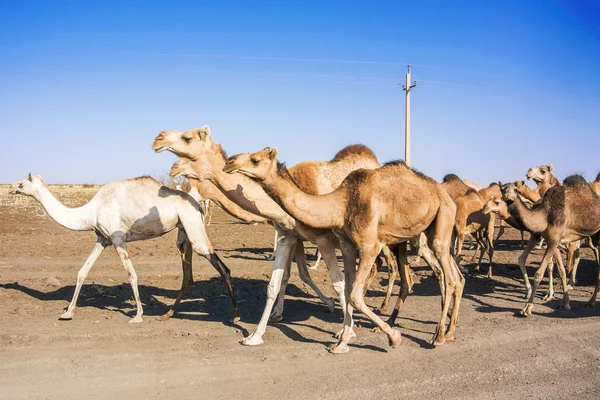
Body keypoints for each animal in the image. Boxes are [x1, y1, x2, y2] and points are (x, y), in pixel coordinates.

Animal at [8, 174, 239, 322]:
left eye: (22, 183)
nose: (11, 187)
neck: (89, 212)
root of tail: (198, 204)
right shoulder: (102, 238)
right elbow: (83, 271)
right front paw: (68, 313)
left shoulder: (118, 238)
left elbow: (131, 275)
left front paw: (137, 315)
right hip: (184, 231)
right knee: (188, 277)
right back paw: (167, 314)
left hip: (193, 226)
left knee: (221, 267)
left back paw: (236, 315)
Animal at [152, 126, 382, 346]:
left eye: (187, 138)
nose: (158, 138)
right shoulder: (291, 236)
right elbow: (282, 280)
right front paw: (259, 332)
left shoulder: (322, 239)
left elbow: (337, 284)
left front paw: (345, 331)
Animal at [224, 148, 464, 354]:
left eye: (255, 159)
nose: (230, 162)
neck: (342, 203)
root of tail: (443, 193)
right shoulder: (347, 245)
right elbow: (348, 290)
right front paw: (342, 342)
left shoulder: (369, 246)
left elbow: (355, 295)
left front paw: (393, 337)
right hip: (415, 236)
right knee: (433, 277)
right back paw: (442, 329)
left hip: (442, 220)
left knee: (449, 278)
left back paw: (438, 336)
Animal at [496, 177, 600, 318]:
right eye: (502, 189)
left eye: (516, 190)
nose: (508, 197)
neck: (545, 214)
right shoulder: (545, 238)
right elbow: (560, 269)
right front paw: (565, 303)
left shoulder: (554, 239)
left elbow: (539, 274)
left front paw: (527, 308)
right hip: (594, 240)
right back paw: (591, 301)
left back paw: (591, 301)